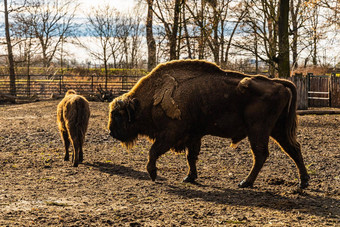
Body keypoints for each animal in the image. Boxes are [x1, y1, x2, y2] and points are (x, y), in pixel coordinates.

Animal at [107, 59, 310, 189]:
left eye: (118, 115)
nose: (111, 132)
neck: (151, 98)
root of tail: (278, 83)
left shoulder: (170, 134)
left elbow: (154, 151)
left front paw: (153, 174)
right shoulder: (194, 135)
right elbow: (191, 157)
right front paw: (189, 178)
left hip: (258, 130)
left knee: (261, 155)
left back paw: (245, 183)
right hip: (277, 130)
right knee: (293, 149)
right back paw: (303, 182)